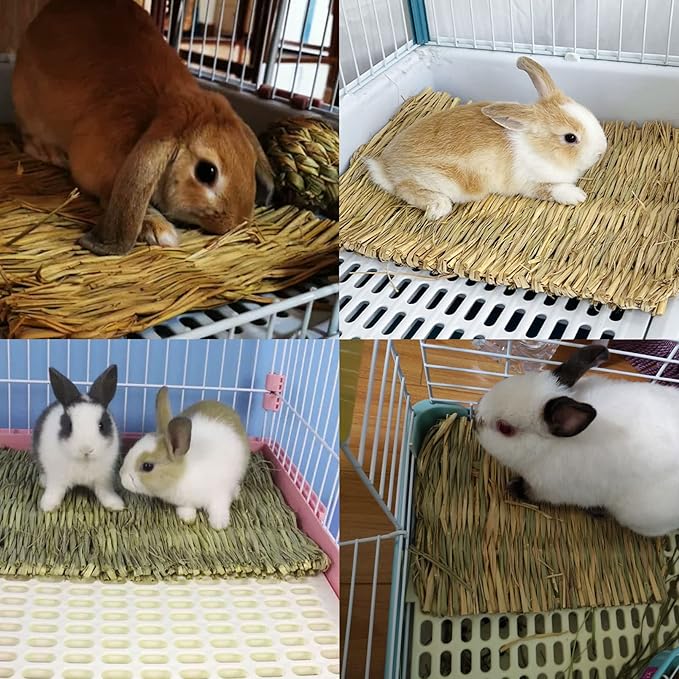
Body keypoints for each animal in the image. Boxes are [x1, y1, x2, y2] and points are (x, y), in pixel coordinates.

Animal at [11, 0, 274, 256]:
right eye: (207, 172)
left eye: (250, 161)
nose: (235, 222)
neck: (153, 116)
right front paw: (159, 229)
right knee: (30, 144)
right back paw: (56, 155)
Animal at [33, 365, 124, 513]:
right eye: (70, 425)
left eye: (101, 425)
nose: (86, 449)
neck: (83, 461)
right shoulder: (56, 476)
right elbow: (55, 490)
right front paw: (48, 506)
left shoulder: (104, 478)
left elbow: (105, 491)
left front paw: (115, 504)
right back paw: (43, 481)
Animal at [119, 387, 250, 530]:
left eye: (147, 466)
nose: (121, 477)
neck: (182, 474)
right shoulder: (185, 501)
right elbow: (186, 508)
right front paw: (187, 517)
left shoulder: (219, 494)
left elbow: (219, 507)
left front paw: (219, 523)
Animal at [364, 57, 608, 220]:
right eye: (570, 137)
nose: (601, 150)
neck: (538, 147)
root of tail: (385, 165)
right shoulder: (529, 183)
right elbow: (552, 189)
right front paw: (577, 195)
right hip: (440, 181)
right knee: (405, 189)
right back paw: (439, 207)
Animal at [474, 343, 679, 537]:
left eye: (505, 428)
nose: (476, 421)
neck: (548, 448)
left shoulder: (547, 490)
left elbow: (530, 493)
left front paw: (514, 487)